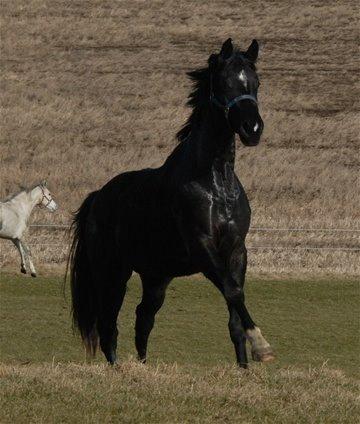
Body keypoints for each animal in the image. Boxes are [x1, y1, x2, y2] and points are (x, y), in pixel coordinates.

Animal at [69, 38, 272, 368]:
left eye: (255, 82)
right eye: (224, 82)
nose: (252, 129)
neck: (215, 182)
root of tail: (97, 197)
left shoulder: (236, 250)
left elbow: (234, 313)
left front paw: (245, 366)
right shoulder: (202, 248)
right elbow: (233, 292)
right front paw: (263, 347)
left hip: (156, 278)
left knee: (143, 319)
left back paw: (142, 366)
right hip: (112, 272)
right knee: (108, 325)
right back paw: (118, 369)